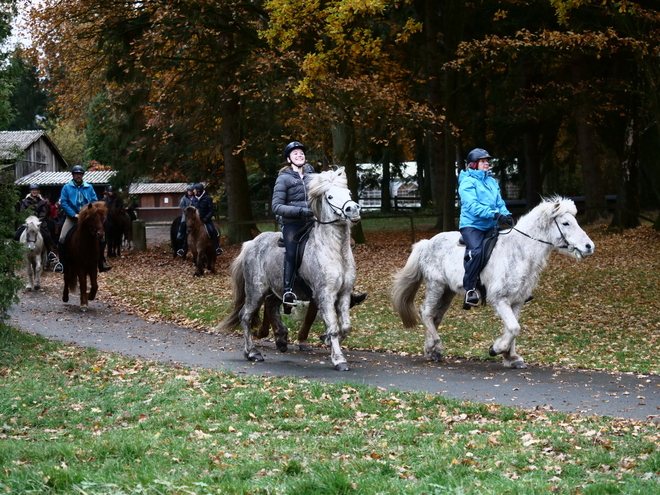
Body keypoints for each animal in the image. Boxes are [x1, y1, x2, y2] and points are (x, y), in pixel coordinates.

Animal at [217, 169, 360, 370]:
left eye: (348, 193)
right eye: (330, 196)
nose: (353, 209)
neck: (335, 250)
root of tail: (251, 243)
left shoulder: (344, 293)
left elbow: (346, 326)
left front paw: (327, 342)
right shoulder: (325, 294)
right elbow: (333, 327)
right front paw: (339, 359)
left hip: (277, 289)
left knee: (271, 306)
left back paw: (281, 339)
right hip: (256, 290)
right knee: (245, 316)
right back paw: (252, 353)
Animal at [394, 197, 596, 368]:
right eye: (565, 223)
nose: (589, 247)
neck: (519, 252)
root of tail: (427, 243)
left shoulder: (516, 301)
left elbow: (513, 328)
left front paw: (510, 357)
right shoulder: (499, 299)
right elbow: (514, 327)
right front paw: (496, 349)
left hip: (447, 292)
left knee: (435, 316)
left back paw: (431, 351)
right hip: (436, 285)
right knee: (426, 312)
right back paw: (436, 346)